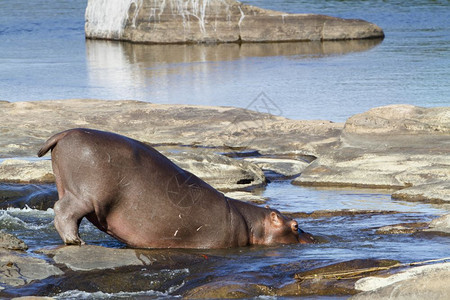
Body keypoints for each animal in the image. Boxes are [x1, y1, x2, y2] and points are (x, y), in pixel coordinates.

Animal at [37, 129, 314, 248]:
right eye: (295, 226)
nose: (314, 238)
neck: (251, 223)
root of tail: (64, 132)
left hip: (69, 186)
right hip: (86, 196)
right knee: (63, 212)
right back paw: (76, 242)